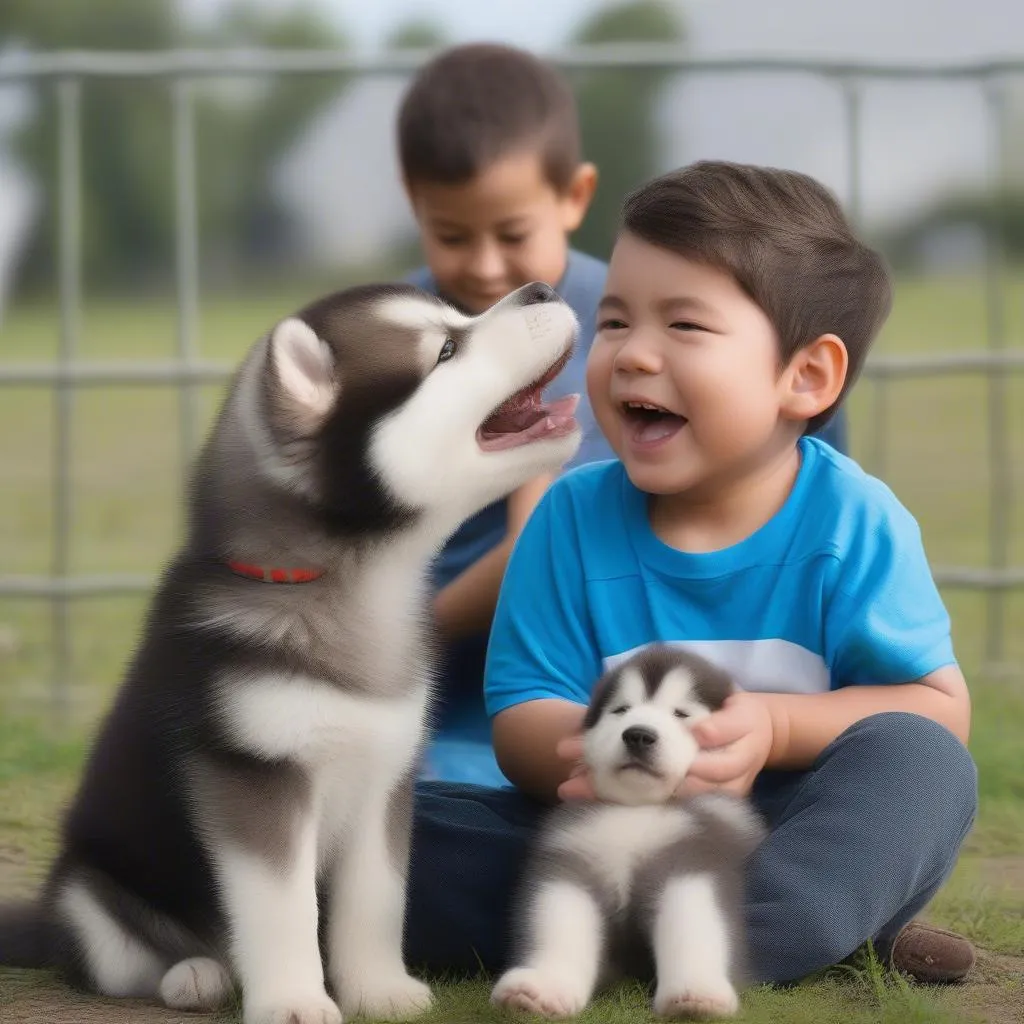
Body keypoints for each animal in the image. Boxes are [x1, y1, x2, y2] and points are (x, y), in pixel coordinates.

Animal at [0, 282, 581, 1024]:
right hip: (89, 892)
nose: (541, 287)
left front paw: (379, 989)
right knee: (127, 960)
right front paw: (295, 1000)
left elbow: (377, 898)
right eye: (446, 350)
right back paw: (194, 974)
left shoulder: (384, 775)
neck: (353, 588)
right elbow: (283, 909)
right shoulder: (255, 773)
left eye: (458, 316)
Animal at [491, 647, 765, 1015]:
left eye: (681, 714)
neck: (635, 813)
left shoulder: (692, 859)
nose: (638, 734)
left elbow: (695, 923)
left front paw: (696, 990)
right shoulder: (572, 860)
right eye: (621, 709)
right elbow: (557, 921)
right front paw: (545, 986)